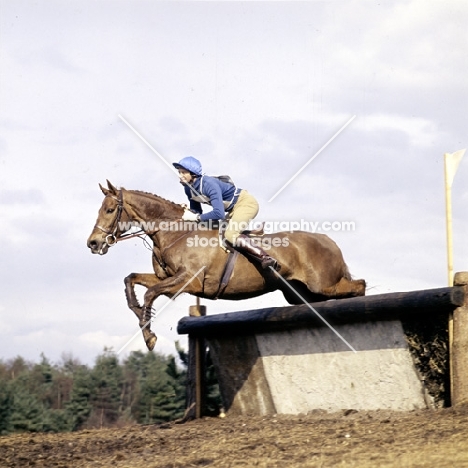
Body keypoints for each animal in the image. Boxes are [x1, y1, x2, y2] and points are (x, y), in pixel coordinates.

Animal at [88, 181, 366, 350]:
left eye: (110, 210)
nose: (93, 243)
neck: (175, 232)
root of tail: (329, 241)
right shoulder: (167, 278)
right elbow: (132, 280)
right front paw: (140, 315)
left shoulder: (188, 280)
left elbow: (150, 293)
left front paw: (150, 337)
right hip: (300, 293)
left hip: (322, 285)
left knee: (359, 286)